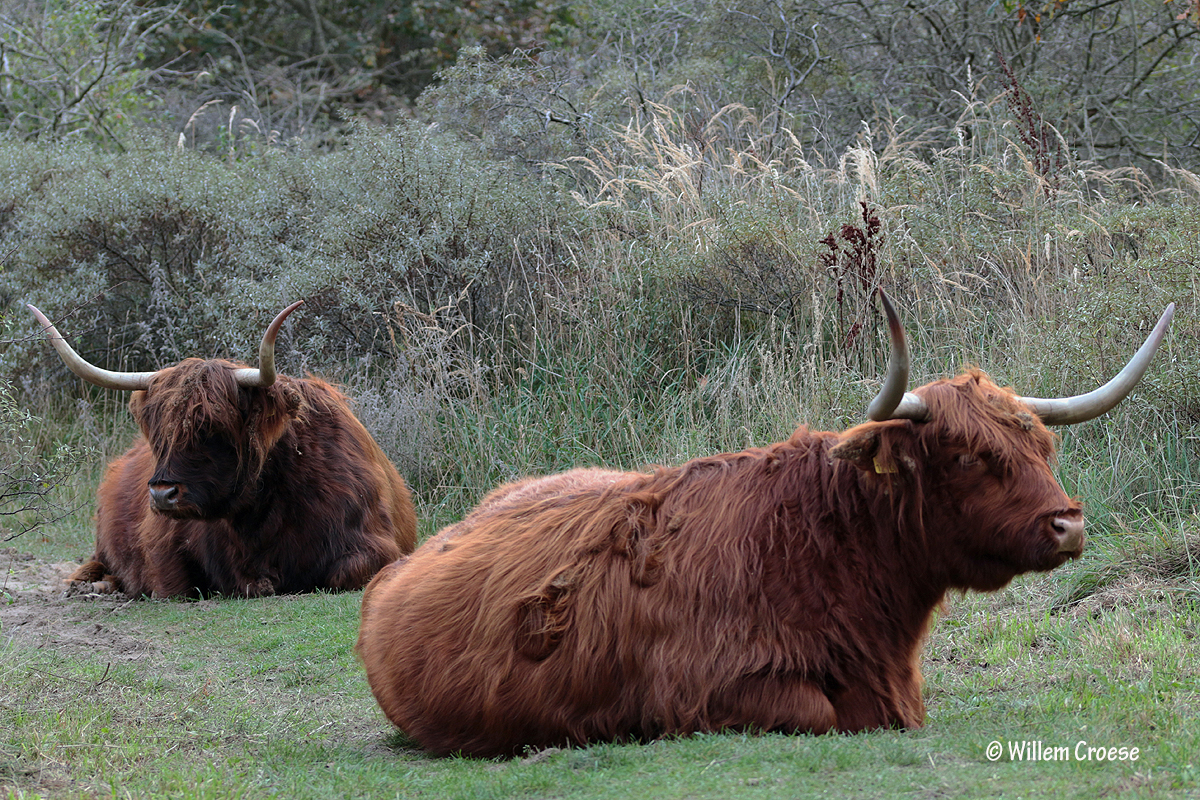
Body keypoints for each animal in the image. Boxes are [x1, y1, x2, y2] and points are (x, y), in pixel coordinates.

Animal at [28, 301, 418, 598]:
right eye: (159, 433)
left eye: (213, 428)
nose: (162, 494)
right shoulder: (164, 547)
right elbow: (181, 583)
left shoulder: (375, 542)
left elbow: (348, 571)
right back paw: (93, 587)